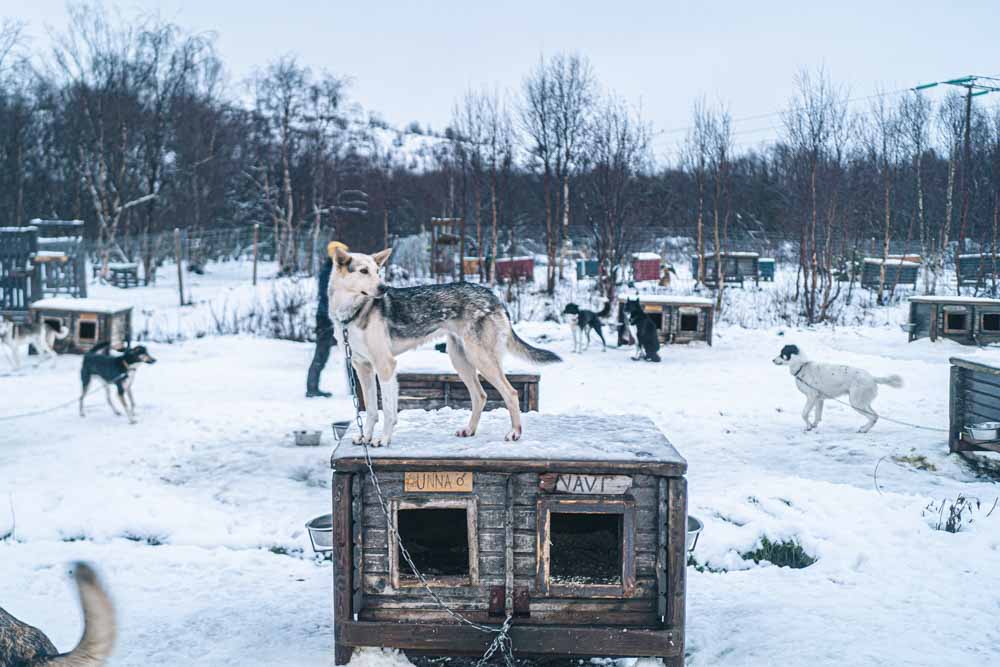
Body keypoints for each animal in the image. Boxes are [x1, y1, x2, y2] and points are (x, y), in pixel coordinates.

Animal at [330, 244, 560, 444]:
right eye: (363, 271)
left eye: (378, 271)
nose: (383, 288)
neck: (352, 313)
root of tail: (493, 295)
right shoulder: (363, 368)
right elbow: (370, 410)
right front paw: (365, 438)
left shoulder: (385, 365)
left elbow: (387, 411)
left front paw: (383, 439)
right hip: (460, 360)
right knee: (480, 395)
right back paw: (469, 430)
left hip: (481, 359)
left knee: (510, 393)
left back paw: (515, 432)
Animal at [772, 344, 908, 434]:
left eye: (782, 353)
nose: (772, 360)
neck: (802, 366)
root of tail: (872, 378)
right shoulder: (819, 399)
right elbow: (817, 415)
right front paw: (814, 425)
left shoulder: (811, 397)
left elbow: (804, 414)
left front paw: (808, 426)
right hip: (863, 402)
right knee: (875, 416)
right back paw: (865, 428)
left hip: (856, 403)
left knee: (873, 417)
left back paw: (863, 429)